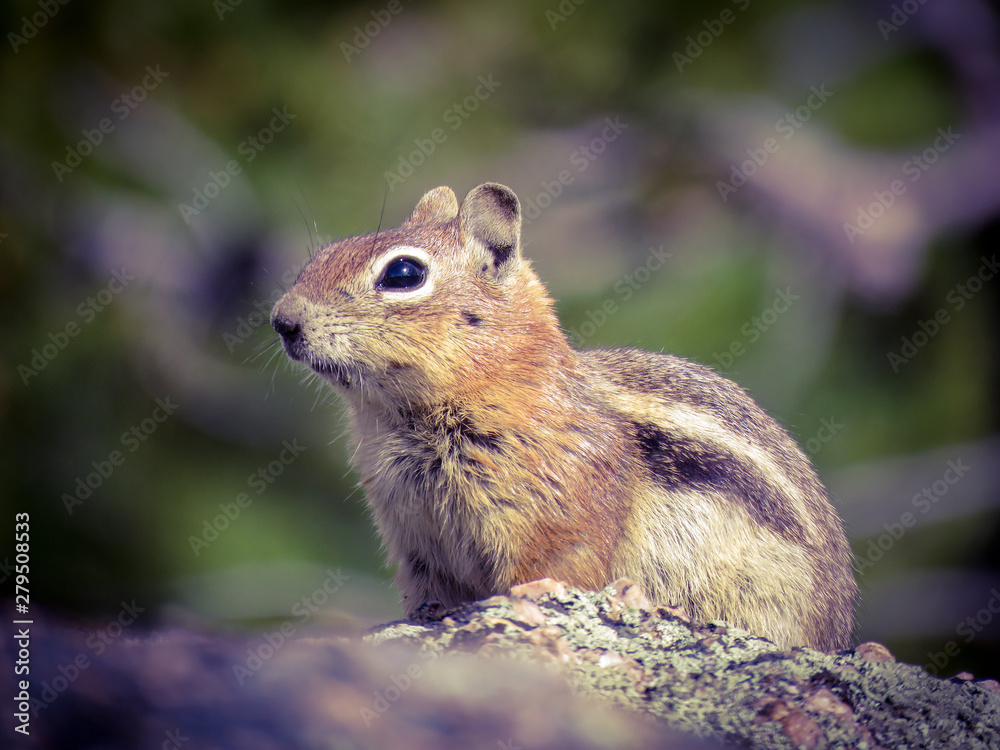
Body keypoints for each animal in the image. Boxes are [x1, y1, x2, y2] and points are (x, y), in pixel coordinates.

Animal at [270, 182, 857, 651]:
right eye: (324, 254)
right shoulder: (416, 543)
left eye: (403, 273)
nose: (282, 320)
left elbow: (555, 568)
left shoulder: (553, 520)